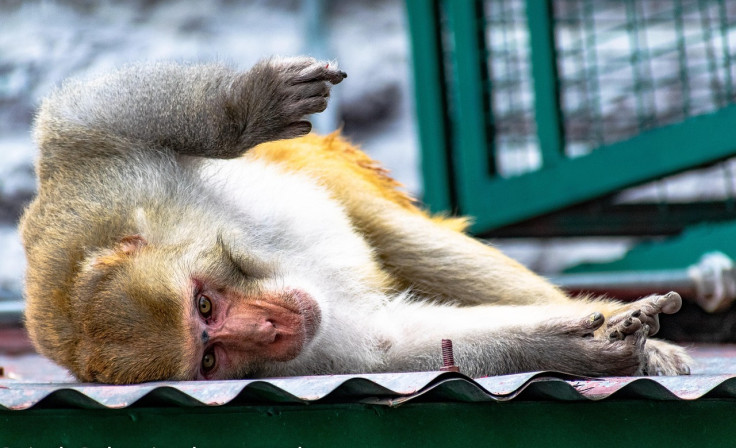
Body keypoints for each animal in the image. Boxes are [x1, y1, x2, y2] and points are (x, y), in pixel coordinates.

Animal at [19, 57, 691, 384]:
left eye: (204, 304)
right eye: (209, 358)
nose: (270, 329)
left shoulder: (91, 173)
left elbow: (86, 112)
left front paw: (247, 108)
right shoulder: (307, 351)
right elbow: (388, 345)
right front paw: (570, 350)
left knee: (399, 235)